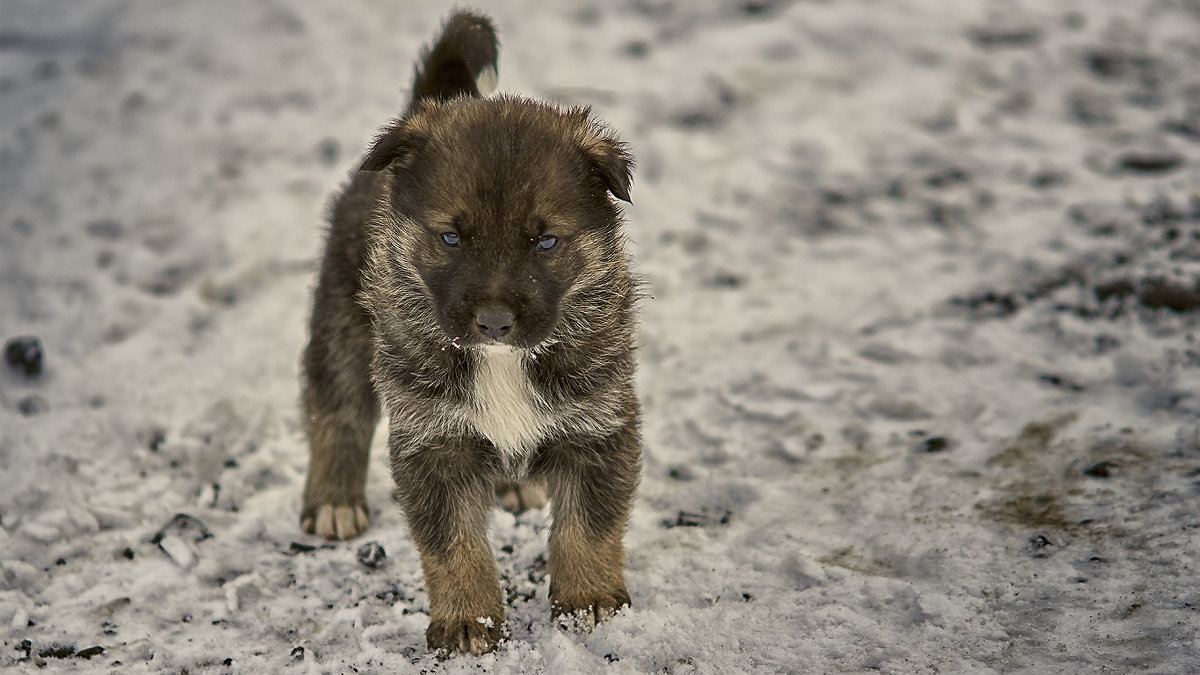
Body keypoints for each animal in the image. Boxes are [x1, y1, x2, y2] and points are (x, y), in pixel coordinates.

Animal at [296, 9, 643, 653]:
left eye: (545, 240)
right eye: (451, 237)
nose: (495, 320)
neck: (502, 362)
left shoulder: (599, 426)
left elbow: (588, 526)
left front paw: (588, 602)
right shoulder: (432, 442)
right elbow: (453, 545)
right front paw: (468, 622)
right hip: (341, 318)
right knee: (335, 408)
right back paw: (333, 500)